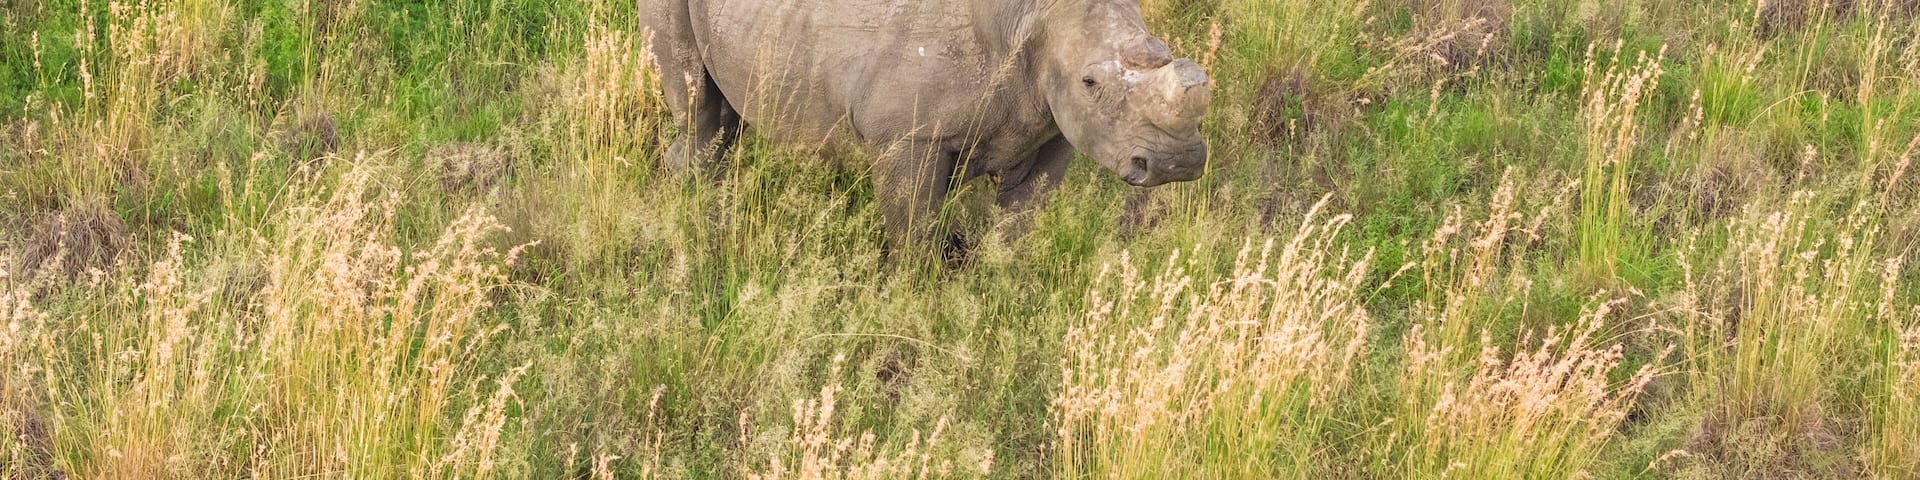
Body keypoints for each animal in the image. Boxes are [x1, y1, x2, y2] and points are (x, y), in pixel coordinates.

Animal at [642, 0, 1211, 247]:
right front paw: (916, 299)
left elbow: (1018, 222)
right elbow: (914, 230)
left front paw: (1002, 282)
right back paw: (702, 211)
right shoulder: (907, 135)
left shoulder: (1054, 128)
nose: (1177, 162)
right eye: (1090, 82)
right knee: (700, 108)